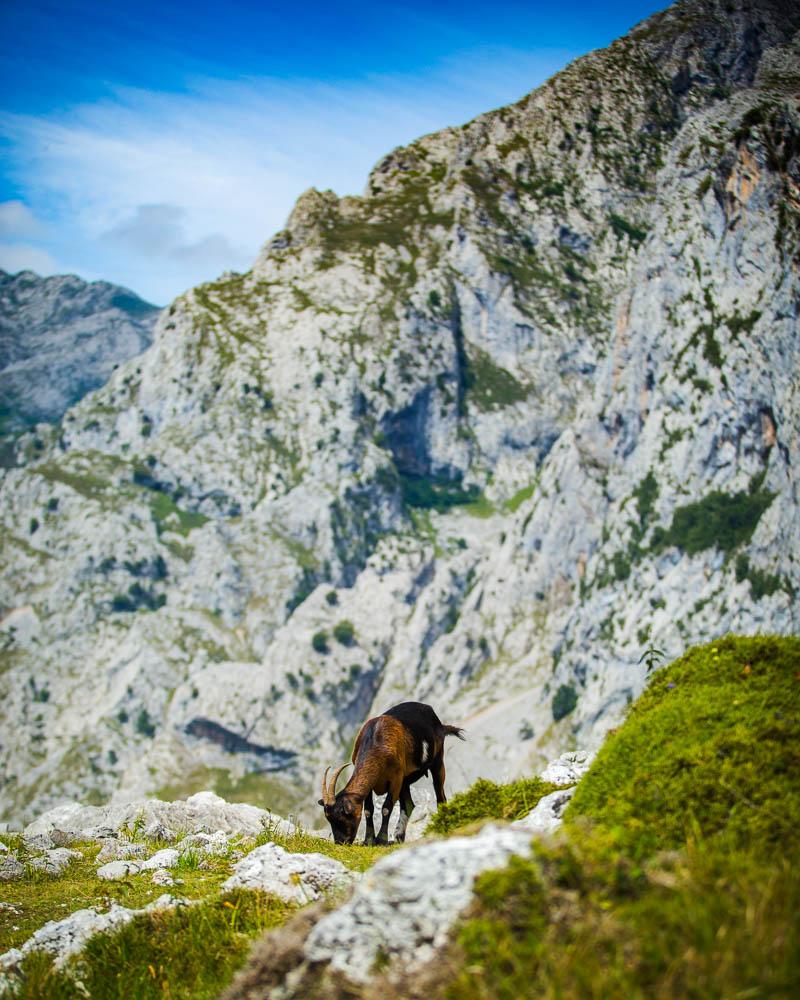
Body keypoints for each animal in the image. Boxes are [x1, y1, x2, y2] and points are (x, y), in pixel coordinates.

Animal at [316, 704, 460, 844]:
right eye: (329, 819)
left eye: (342, 816)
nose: (340, 842)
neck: (376, 741)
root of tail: (439, 723)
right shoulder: (372, 784)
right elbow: (368, 810)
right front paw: (368, 840)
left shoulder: (396, 778)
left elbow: (386, 808)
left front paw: (381, 839)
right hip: (406, 781)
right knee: (408, 804)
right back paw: (399, 837)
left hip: (437, 761)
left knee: (440, 795)